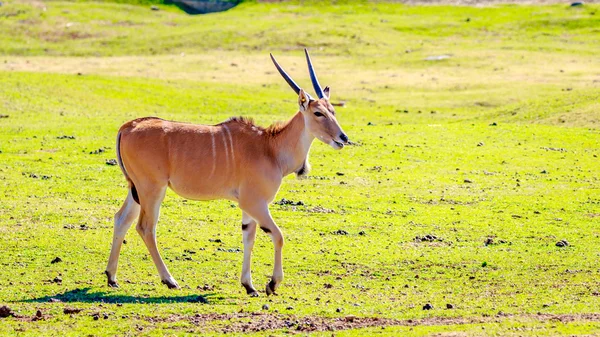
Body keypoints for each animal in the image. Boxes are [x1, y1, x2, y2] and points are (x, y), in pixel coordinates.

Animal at [105, 48, 350, 296]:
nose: (343, 138)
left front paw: (249, 286)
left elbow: (248, 237)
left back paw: (112, 277)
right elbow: (278, 236)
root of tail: (128, 127)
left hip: (136, 189)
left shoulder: (249, 207)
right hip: (152, 189)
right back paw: (169, 279)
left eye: (333, 110)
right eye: (318, 113)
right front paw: (272, 283)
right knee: (145, 227)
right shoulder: (254, 203)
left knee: (121, 219)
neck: (270, 147)